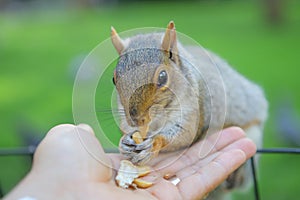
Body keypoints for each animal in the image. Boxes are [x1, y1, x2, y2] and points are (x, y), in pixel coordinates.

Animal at [110, 21, 268, 195]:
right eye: (113, 79)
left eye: (162, 77)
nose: (136, 120)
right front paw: (124, 142)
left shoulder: (195, 109)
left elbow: (185, 134)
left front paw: (153, 145)